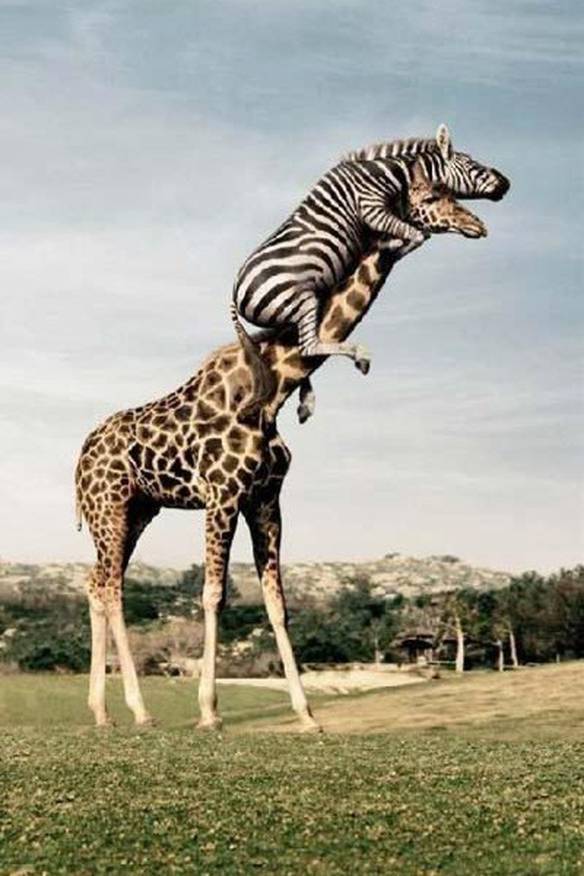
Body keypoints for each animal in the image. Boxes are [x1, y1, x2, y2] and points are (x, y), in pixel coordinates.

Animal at [231, 123, 509, 412]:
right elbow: (416, 235)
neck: (387, 173)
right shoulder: (371, 209)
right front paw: (393, 244)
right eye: (470, 163)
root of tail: (234, 294)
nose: (506, 183)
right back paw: (359, 356)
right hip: (301, 300)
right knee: (308, 346)